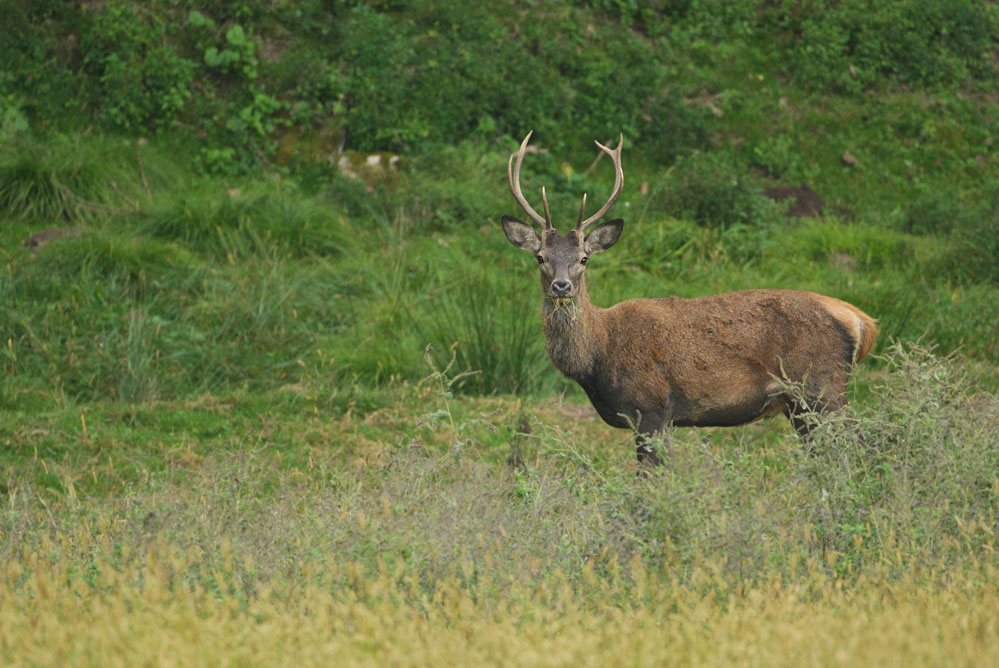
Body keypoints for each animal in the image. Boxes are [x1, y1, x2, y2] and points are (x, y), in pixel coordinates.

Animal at [501, 132, 878, 467]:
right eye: (540, 257)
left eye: (583, 258)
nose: (561, 287)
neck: (597, 357)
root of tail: (860, 320)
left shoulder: (651, 406)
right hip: (803, 404)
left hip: (821, 388)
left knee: (860, 447)